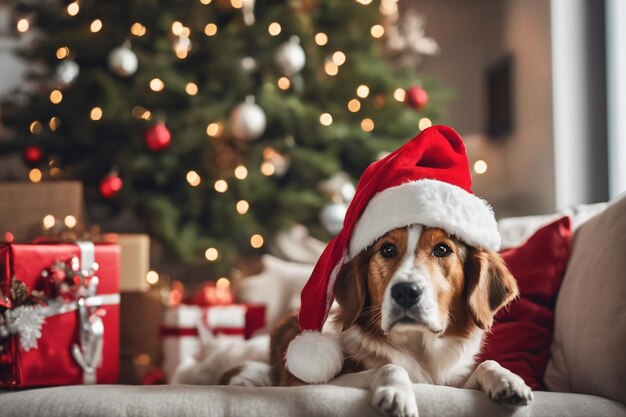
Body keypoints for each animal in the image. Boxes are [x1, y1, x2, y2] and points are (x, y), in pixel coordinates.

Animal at [255, 224, 532, 416]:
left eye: (442, 249)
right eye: (387, 249)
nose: (406, 291)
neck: (420, 348)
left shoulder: (451, 383)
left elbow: (486, 364)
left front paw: (507, 380)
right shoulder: (304, 383)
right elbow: (390, 366)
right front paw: (397, 393)